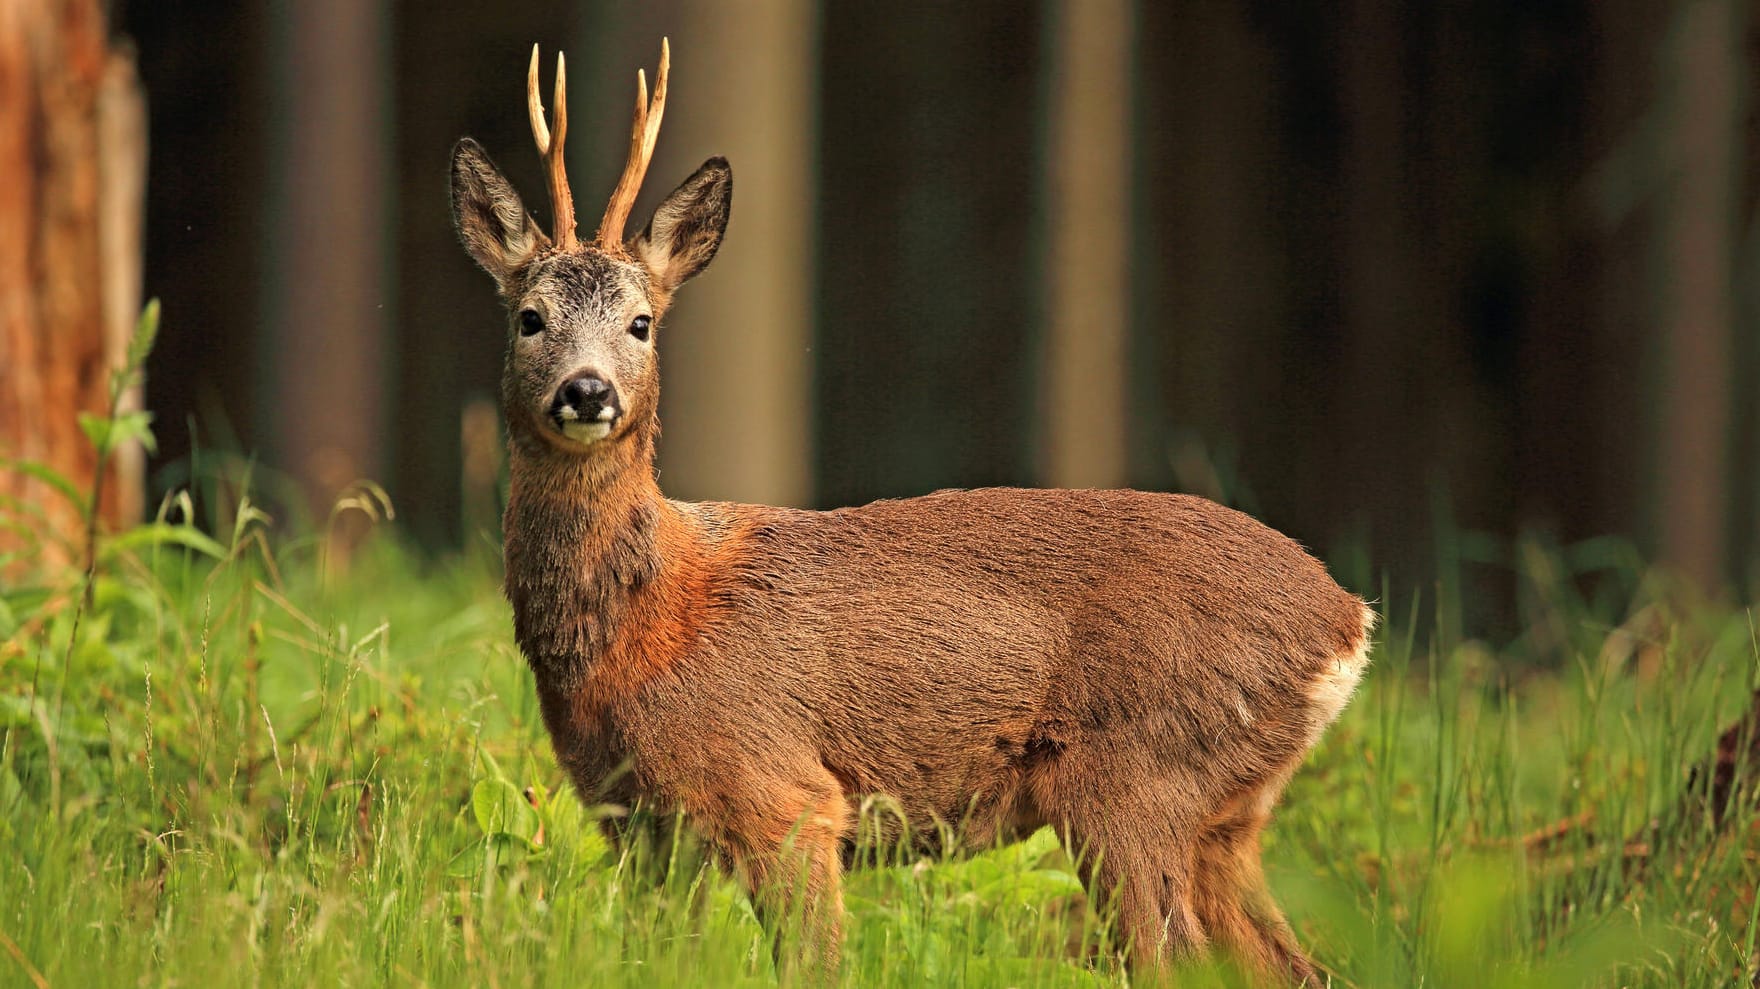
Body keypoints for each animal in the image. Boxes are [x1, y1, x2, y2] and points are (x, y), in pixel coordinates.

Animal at [447, 38, 1365, 978]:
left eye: (640, 323)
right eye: (530, 317)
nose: (586, 391)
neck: (646, 625)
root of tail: (1346, 620)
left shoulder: (782, 790)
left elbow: (814, 960)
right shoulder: (636, 821)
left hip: (1134, 775)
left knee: (1171, 956)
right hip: (1225, 815)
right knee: (1298, 965)